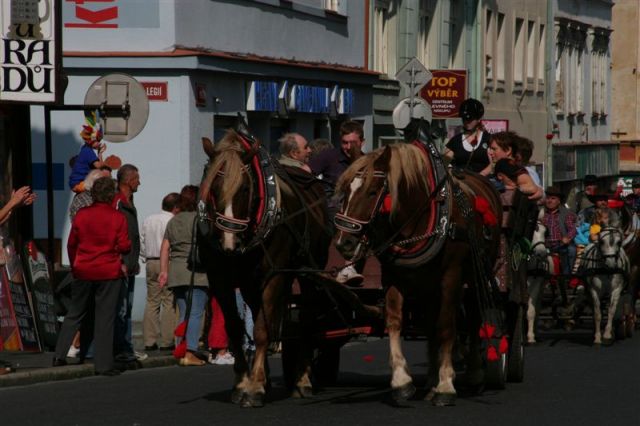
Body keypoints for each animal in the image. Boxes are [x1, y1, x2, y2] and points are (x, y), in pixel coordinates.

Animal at [199, 129, 330, 406]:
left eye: (245, 187)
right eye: (213, 187)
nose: (229, 242)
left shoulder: (274, 277)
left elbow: (260, 330)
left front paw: (255, 387)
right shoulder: (220, 279)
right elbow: (235, 328)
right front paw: (242, 383)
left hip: (309, 271)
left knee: (306, 319)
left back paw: (302, 380)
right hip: (251, 283)